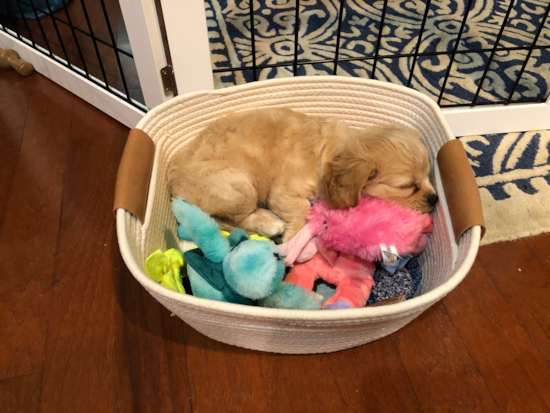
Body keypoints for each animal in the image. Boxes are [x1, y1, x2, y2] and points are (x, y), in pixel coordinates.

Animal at [169, 107, 440, 241]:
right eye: (408, 185)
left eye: (428, 176)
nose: (436, 199)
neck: (329, 151)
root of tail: (173, 185)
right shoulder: (282, 192)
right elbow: (301, 208)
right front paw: (291, 236)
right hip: (239, 185)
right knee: (232, 218)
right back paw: (270, 224)